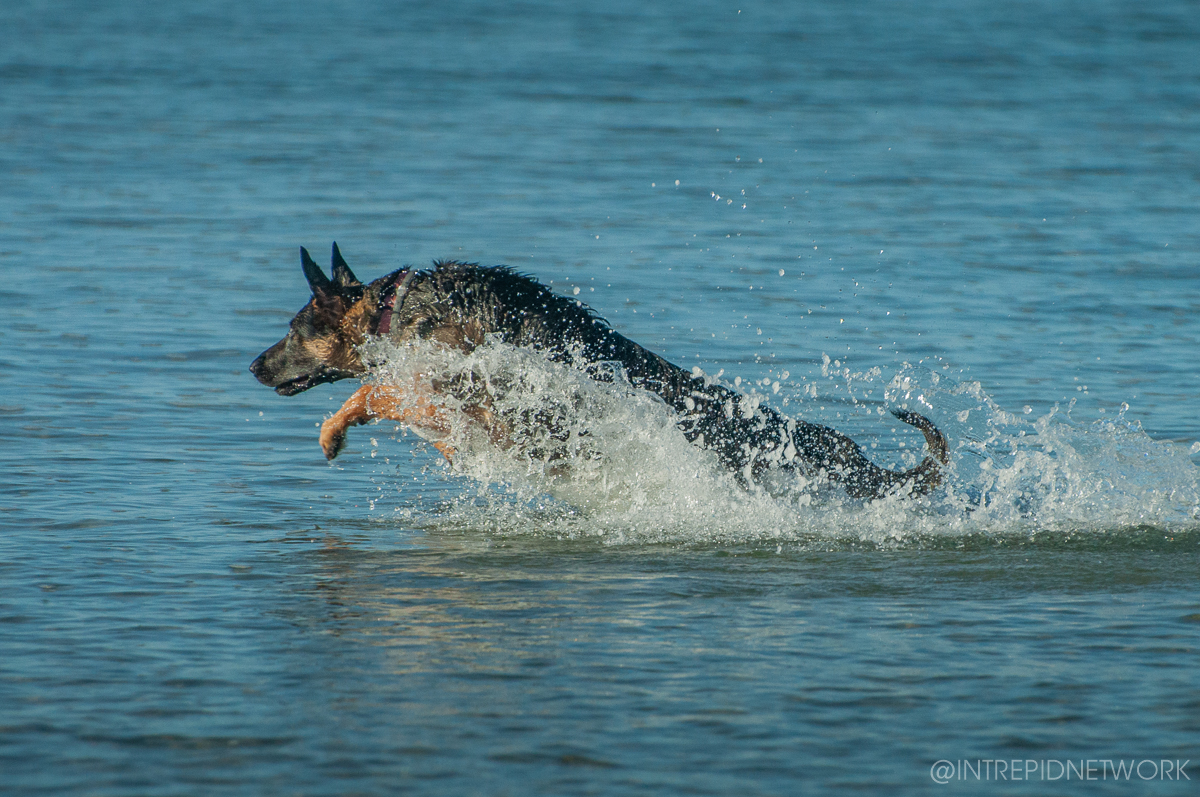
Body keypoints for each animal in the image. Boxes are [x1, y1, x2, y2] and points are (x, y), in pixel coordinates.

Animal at [250, 246, 945, 501]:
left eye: (294, 329)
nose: (252, 365)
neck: (395, 312)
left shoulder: (473, 391)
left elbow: (383, 390)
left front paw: (335, 431)